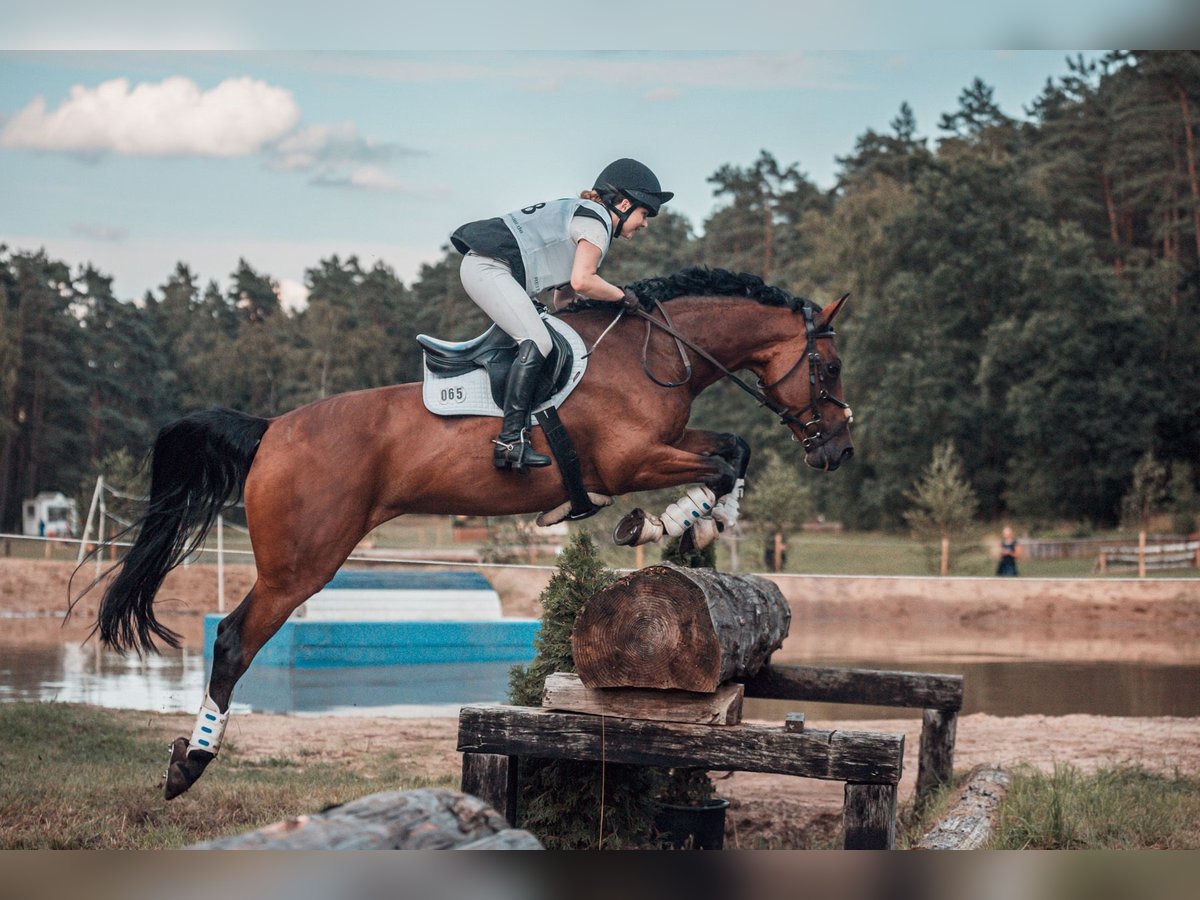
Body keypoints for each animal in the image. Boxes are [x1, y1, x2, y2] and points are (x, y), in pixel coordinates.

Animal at [82, 264, 854, 801]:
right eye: (830, 366)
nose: (839, 451)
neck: (658, 354)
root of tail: (272, 429)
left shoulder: (664, 445)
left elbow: (734, 452)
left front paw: (702, 524)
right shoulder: (630, 459)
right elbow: (722, 462)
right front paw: (660, 522)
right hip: (299, 566)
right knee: (235, 641)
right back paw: (190, 764)